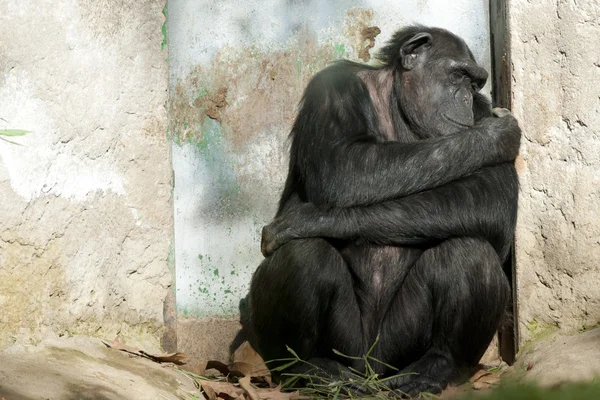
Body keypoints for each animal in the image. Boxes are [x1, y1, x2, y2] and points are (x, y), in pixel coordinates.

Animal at [239, 25, 520, 396]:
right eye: (458, 75)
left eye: (476, 84)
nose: (464, 99)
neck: (397, 107)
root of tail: (371, 371)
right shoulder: (333, 88)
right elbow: (343, 166)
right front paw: (495, 136)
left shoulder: (482, 109)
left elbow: (493, 197)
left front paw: (308, 218)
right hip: (347, 345)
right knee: (303, 254)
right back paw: (310, 368)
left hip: (398, 345)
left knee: (469, 252)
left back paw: (434, 367)